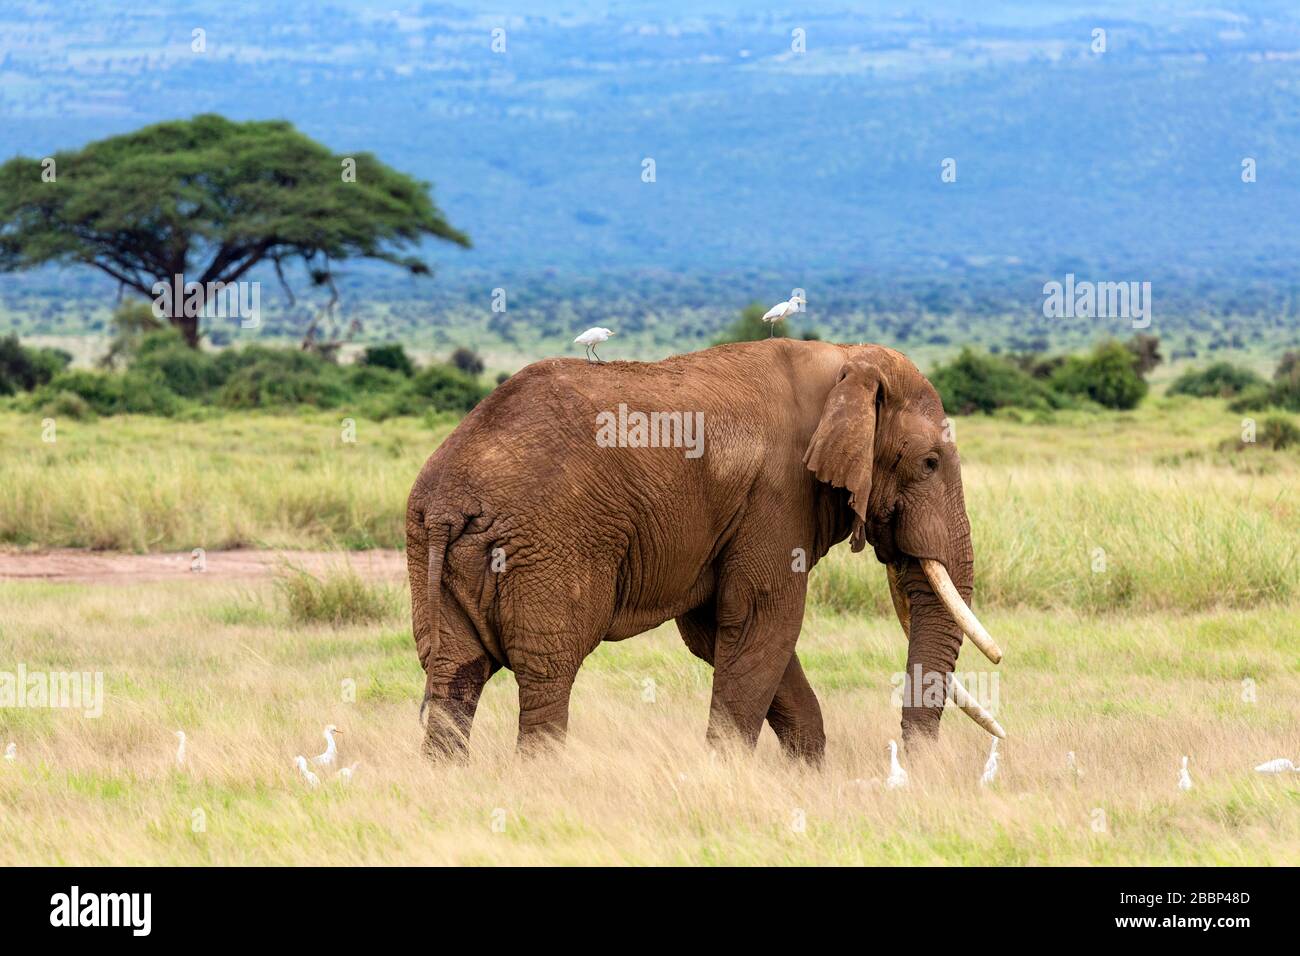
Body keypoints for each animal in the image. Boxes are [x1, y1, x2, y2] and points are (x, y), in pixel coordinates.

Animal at [405, 340, 1003, 764]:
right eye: (929, 463)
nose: (914, 764)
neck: (844, 361)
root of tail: (449, 499)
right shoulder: (777, 495)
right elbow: (763, 623)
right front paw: (729, 774)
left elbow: (722, 634)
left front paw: (805, 774)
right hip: (551, 543)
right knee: (547, 670)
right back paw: (541, 779)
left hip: (429, 548)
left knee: (454, 671)